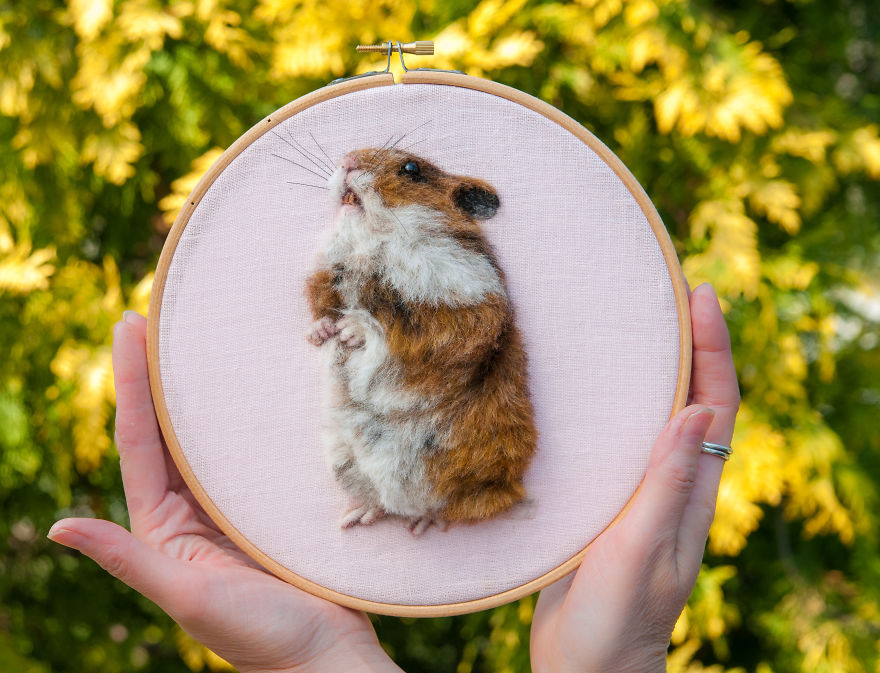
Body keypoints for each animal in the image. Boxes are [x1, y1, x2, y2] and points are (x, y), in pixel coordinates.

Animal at [305, 147, 536, 535]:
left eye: (411, 169)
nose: (347, 159)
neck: (373, 244)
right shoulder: (329, 274)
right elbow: (323, 305)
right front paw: (321, 333)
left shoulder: (462, 314)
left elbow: (397, 330)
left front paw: (350, 331)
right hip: (343, 456)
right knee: (381, 500)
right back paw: (357, 517)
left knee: (447, 508)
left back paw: (418, 525)